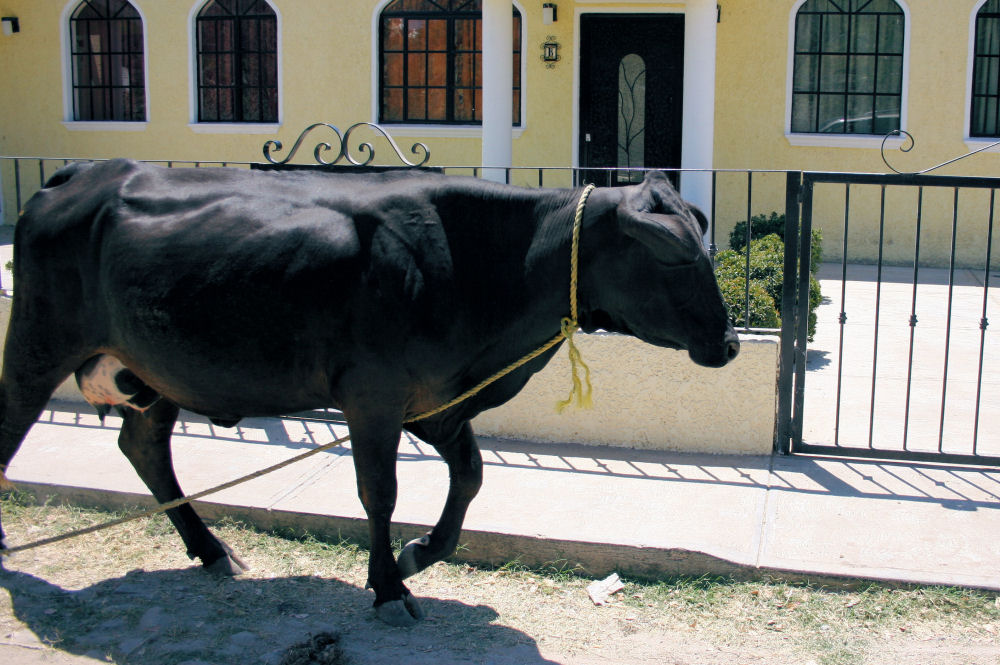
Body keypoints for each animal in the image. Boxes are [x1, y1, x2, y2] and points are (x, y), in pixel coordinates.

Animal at [0, 160, 736, 624]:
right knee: (16, 426)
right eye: (675, 254)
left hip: (154, 370)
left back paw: (211, 550)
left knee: (144, 445)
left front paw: (419, 555)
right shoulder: (374, 397)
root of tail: (85, 173)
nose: (730, 343)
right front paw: (386, 586)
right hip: (39, 341)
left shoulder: (435, 400)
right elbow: (380, 493)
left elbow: (470, 477)